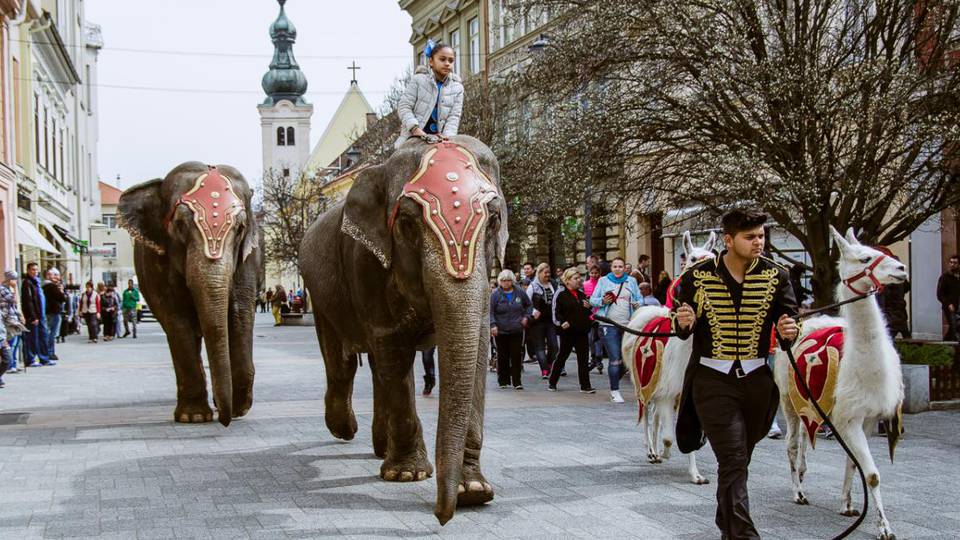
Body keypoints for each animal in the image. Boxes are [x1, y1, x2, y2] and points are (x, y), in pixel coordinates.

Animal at [118, 160, 260, 426]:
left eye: (240, 228)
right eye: (180, 225)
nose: (225, 420)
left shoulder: (249, 257)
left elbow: (239, 313)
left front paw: (237, 408)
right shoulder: (155, 263)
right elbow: (177, 320)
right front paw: (194, 417)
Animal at [302, 136, 510, 528]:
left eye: (492, 221)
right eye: (409, 224)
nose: (441, 517)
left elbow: (476, 348)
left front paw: (474, 491)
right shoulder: (364, 261)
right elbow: (391, 348)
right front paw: (408, 475)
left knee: (375, 369)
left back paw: (379, 448)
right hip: (318, 292)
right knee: (343, 362)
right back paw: (345, 430)